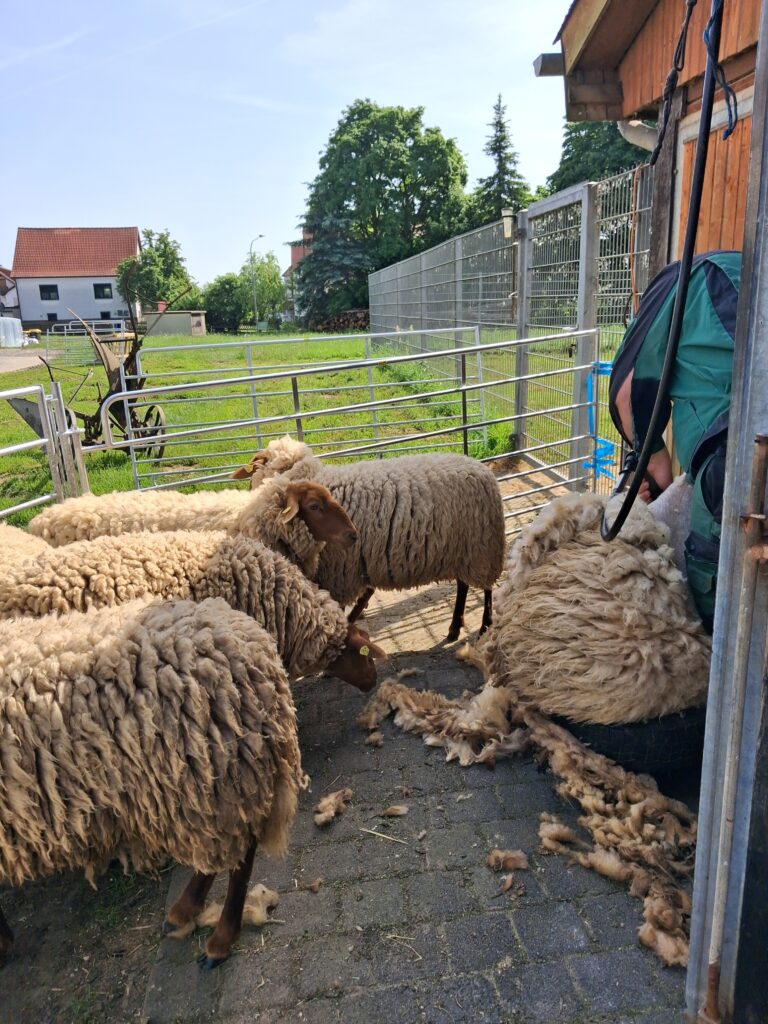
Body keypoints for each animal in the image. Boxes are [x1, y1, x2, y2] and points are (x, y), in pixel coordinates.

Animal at [0, 597, 306, 968]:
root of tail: (258, 653)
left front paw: (3, 944)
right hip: (223, 782)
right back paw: (184, 912)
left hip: (212, 784)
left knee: (237, 856)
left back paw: (218, 939)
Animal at [232, 436, 506, 641]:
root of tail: (482, 469)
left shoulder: (338, 570)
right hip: (464, 550)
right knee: (463, 585)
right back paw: (455, 627)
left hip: (483, 547)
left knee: (486, 588)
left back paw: (484, 625)